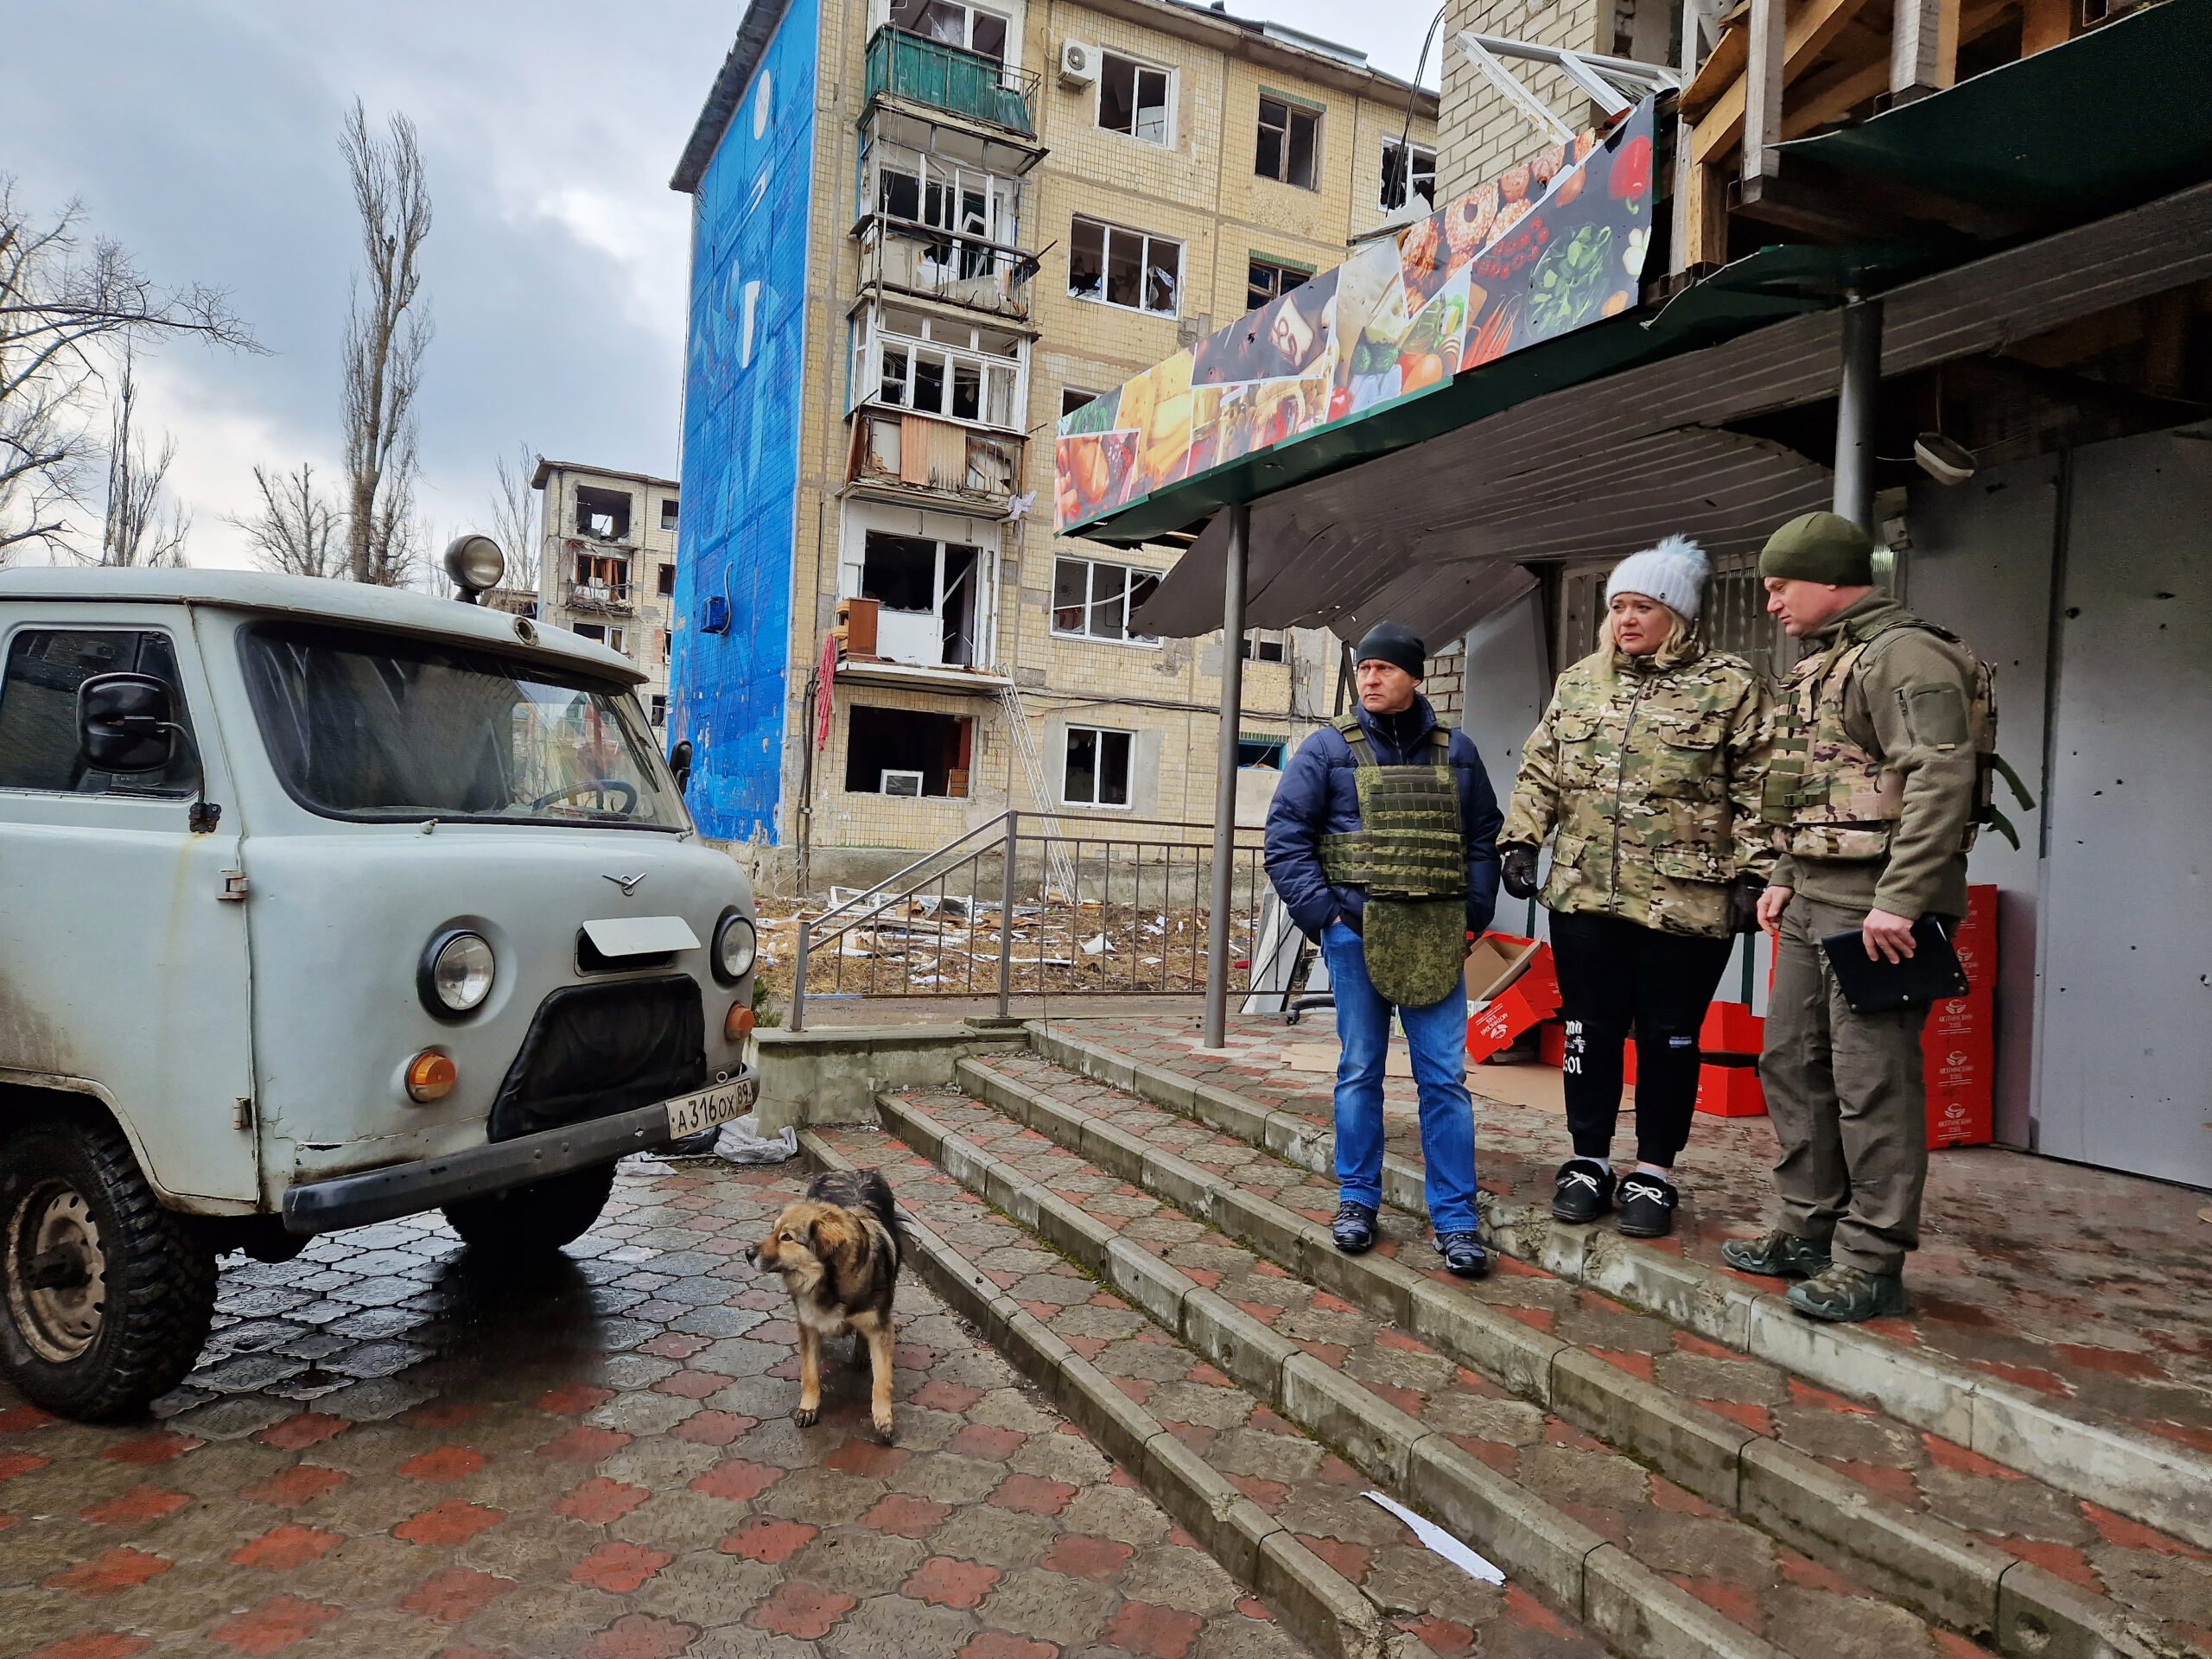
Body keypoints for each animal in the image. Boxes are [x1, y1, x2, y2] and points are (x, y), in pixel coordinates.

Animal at [747, 1167, 902, 1442]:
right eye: (773, 1232)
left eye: (787, 1237)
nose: (747, 1254)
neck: (830, 1281)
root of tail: (854, 1171)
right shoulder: (808, 1324)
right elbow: (809, 1373)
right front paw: (809, 1408)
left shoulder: (881, 1326)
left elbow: (882, 1380)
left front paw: (883, 1418)